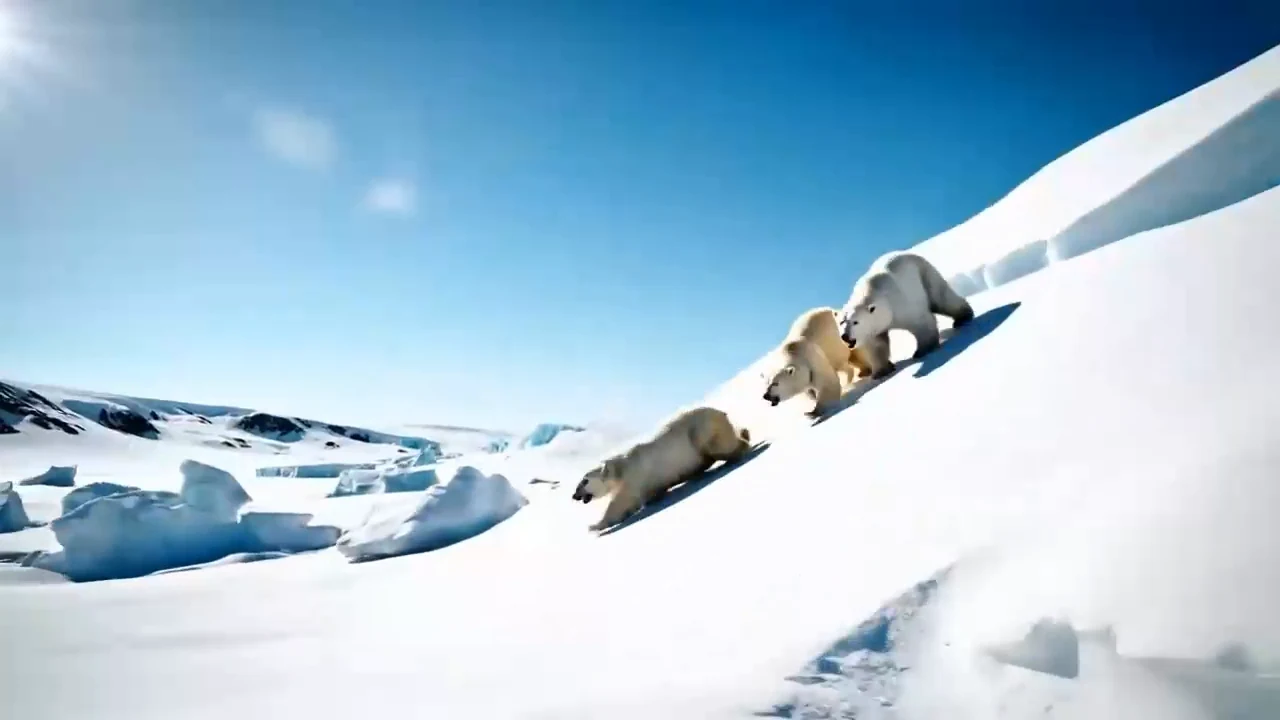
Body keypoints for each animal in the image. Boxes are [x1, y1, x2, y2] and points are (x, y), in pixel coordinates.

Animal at [571, 406, 752, 532]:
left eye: (585, 481)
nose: (574, 495)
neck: (619, 469)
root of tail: (720, 412)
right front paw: (654, 499)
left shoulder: (633, 477)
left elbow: (620, 503)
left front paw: (594, 526)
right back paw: (744, 433)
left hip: (700, 429)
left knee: (716, 444)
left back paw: (738, 450)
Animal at [837, 251, 974, 379]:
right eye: (841, 322)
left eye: (855, 322)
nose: (845, 336)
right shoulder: (875, 326)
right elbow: (876, 344)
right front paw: (881, 371)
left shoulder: (900, 303)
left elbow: (921, 323)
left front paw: (923, 350)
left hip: (925, 273)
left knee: (941, 298)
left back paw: (963, 317)